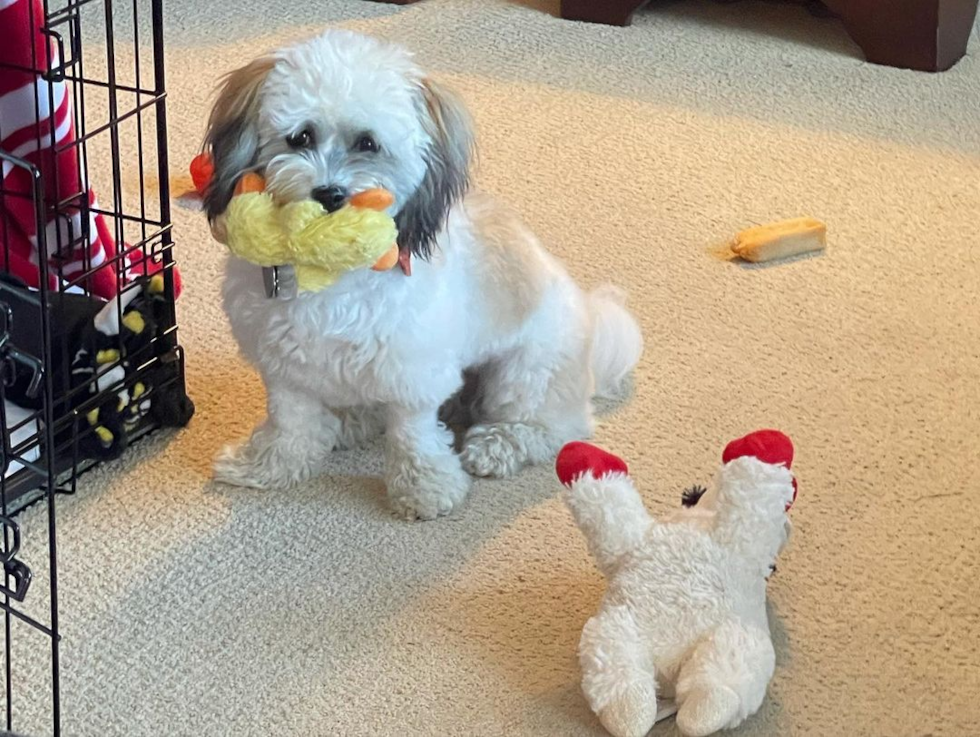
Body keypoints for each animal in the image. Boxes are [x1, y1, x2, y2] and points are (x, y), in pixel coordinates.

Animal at [205, 31, 644, 520]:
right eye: (301, 137)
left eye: (368, 144)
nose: (331, 193)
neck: (330, 272)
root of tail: (593, 315)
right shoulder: (282, 363)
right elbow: (289, 424)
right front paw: (267, 467)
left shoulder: (413, 369)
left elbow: (412, 434)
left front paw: (424, 488)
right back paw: (350, 421)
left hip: (524, 373)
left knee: (556, 426)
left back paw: (498, 444)